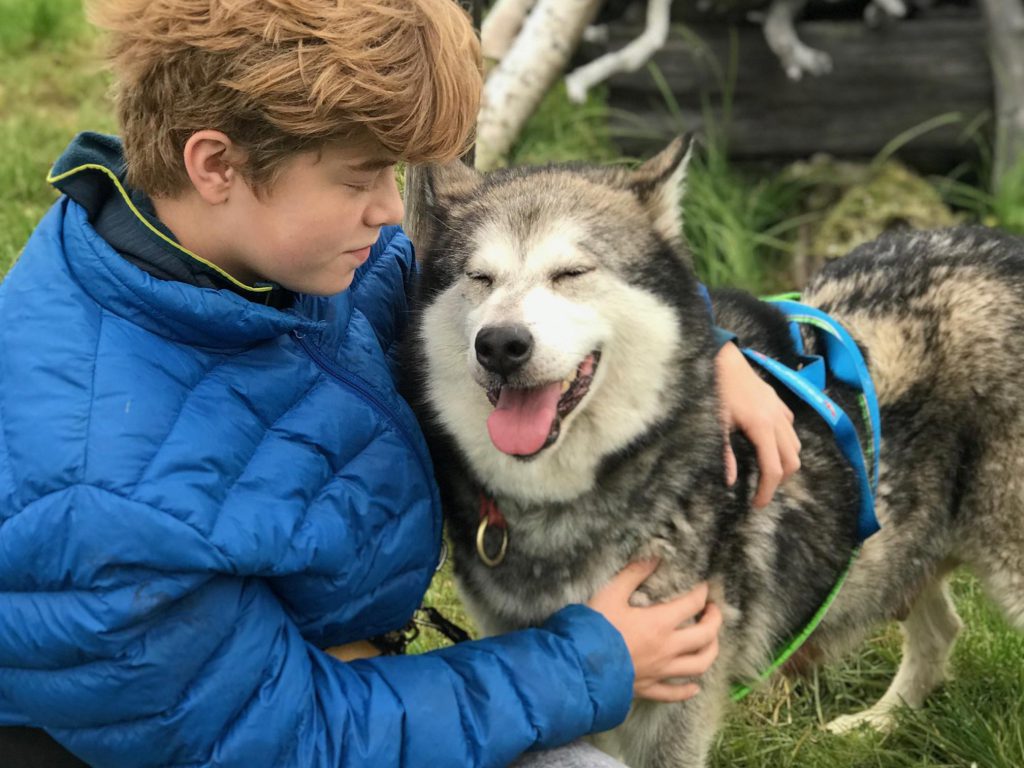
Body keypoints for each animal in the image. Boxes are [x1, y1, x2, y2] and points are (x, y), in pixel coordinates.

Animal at [403, 140, 1024, 768]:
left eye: (571, 273)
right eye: (480, 278)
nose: (501, 345)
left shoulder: (678, 699)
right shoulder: (569, 676)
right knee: (943, 630)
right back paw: (878, 724)